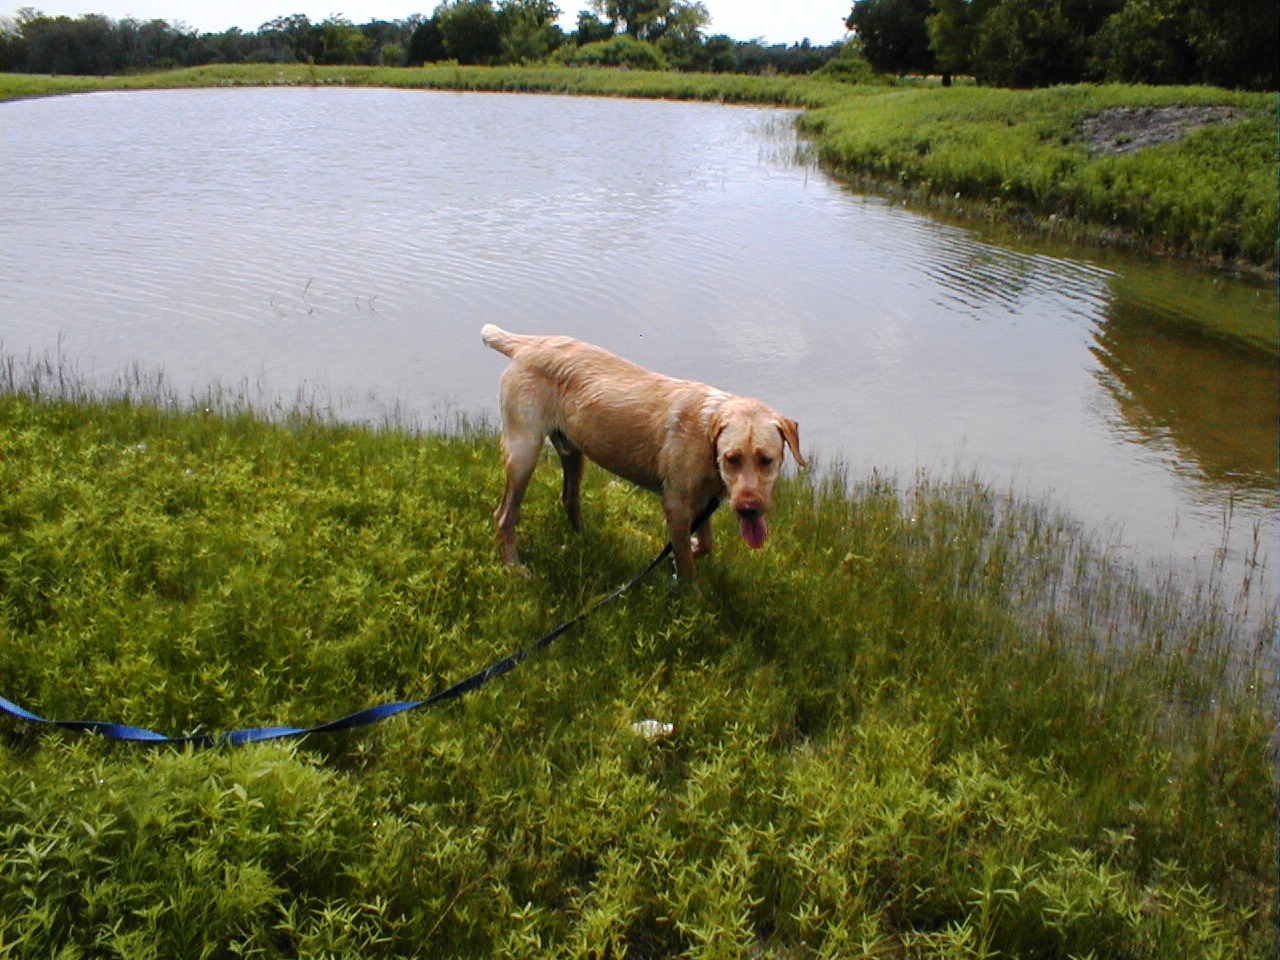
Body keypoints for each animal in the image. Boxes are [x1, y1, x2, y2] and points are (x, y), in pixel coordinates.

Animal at [481, 323, 798, 583]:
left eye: (766, 460)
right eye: (732, 458)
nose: (748, 508)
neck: (707, 439)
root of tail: (525, 344)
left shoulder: (702, 503)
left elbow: (703, 545)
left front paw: (687, 551)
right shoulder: (677, 506)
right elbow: (687, 571)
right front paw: (691, 603)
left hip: (572, 450)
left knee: (569, 498)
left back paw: (587, 540)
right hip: (524, 450)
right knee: (505, 515)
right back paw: (514, 567)